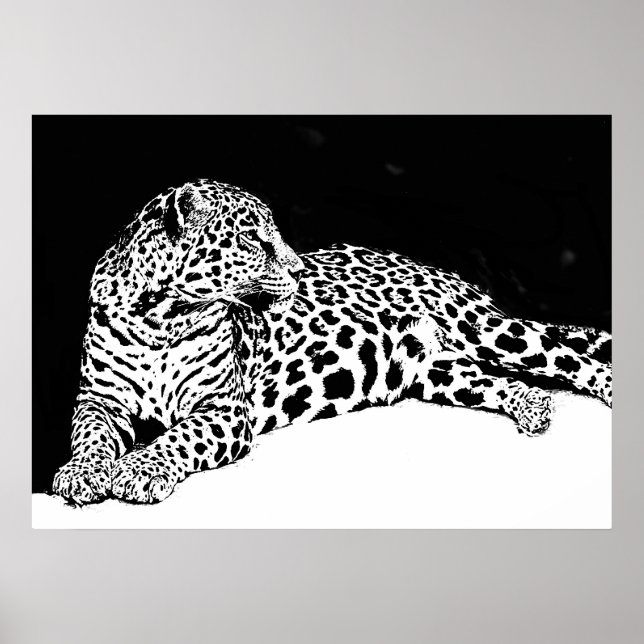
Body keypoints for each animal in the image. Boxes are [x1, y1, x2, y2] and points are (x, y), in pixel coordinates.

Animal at [52, 179, 612, 504]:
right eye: (253, 238)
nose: (301, 272)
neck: (160, 317)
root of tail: (433, 266)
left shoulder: (223, 411)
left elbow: (177, 437)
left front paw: (138, 471)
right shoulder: (98, 400)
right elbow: (90, 437)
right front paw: (82, 474)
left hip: (486, 330)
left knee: (573, 357)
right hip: (435, 369)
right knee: (493, 380)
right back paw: (532, 407)